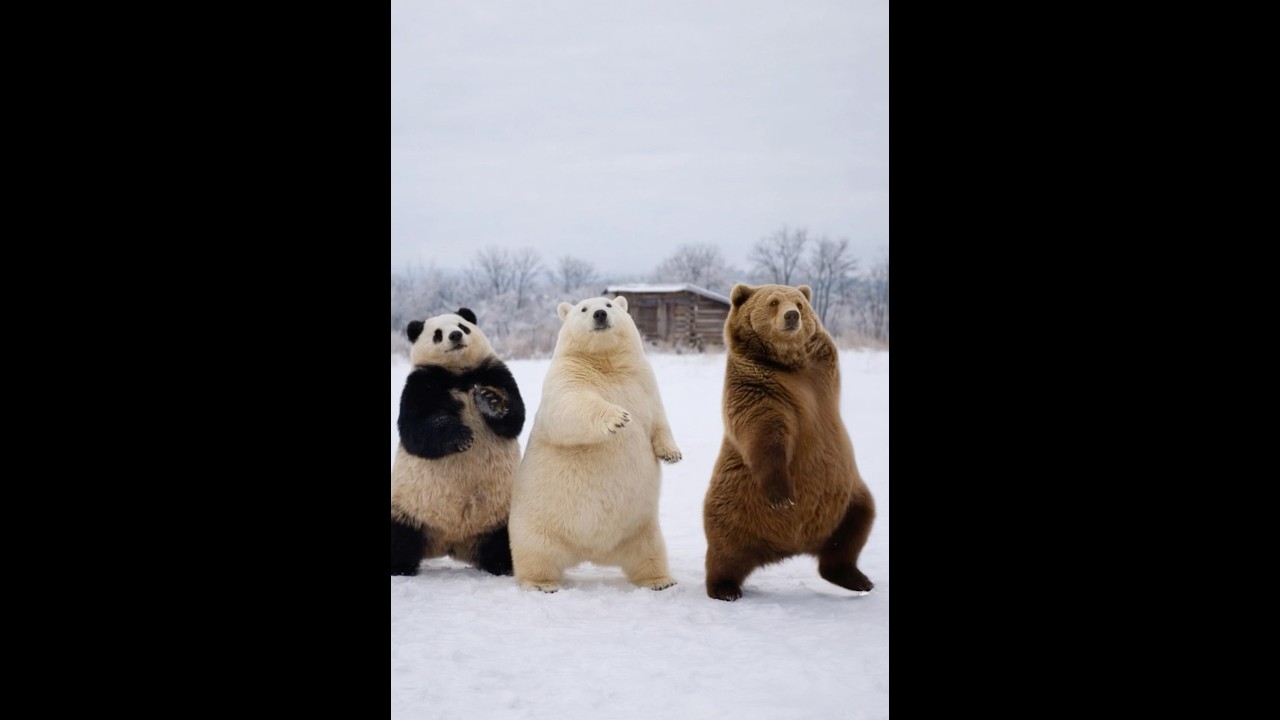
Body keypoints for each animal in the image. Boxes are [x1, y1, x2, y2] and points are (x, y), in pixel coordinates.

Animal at [390, 307, 525, 577]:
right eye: (437, 334)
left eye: (463, 326)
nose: (455, 336)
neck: (459, 376)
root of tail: (451, 542)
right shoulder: (420, 383)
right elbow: (416, 428)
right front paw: (460, 436)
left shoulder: (494, 372)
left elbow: (514, 415)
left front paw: (490, 401)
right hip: (407, 506)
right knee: (399, 537)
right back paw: (398, 566)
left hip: (500, 515)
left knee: (501, 541)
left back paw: (502, 565)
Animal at [508, 295, 682, 593]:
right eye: (583, 309)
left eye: (609, 305)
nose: (600, 314)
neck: (606, 364)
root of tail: (590, 552)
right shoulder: (567, 374)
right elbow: (569, 404)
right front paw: (617, 418)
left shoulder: (643, 382)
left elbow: (659, 419)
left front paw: (672, 454)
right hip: (537, 523)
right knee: (536, 553)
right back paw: (542, 583)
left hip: (639, 527)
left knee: (649, 552)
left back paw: (661, 581)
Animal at [702, 283, 876, 601]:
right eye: (773, 302)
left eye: (799, 303)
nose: (792, 316)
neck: (788, 365)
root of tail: (791, 546)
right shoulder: (758, 389)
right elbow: (764, 431)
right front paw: (782, 494)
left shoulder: (821, 369)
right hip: (735, 505)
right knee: (725, 550)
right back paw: (725, 588)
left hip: (847, 498)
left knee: (855, 528)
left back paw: (858, 579)